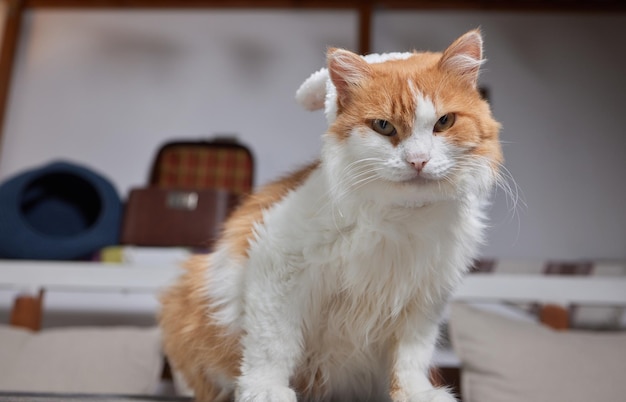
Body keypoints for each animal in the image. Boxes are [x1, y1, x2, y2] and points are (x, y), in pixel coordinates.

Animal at [160, 29, 502, 402]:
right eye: (384, 126)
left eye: (444, 122)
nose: (418, 160)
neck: (402, 219)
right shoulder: (277, 265)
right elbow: (272, 345)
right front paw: (265, 390)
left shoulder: (425, 298)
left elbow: (411, 359)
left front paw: (417, 394)